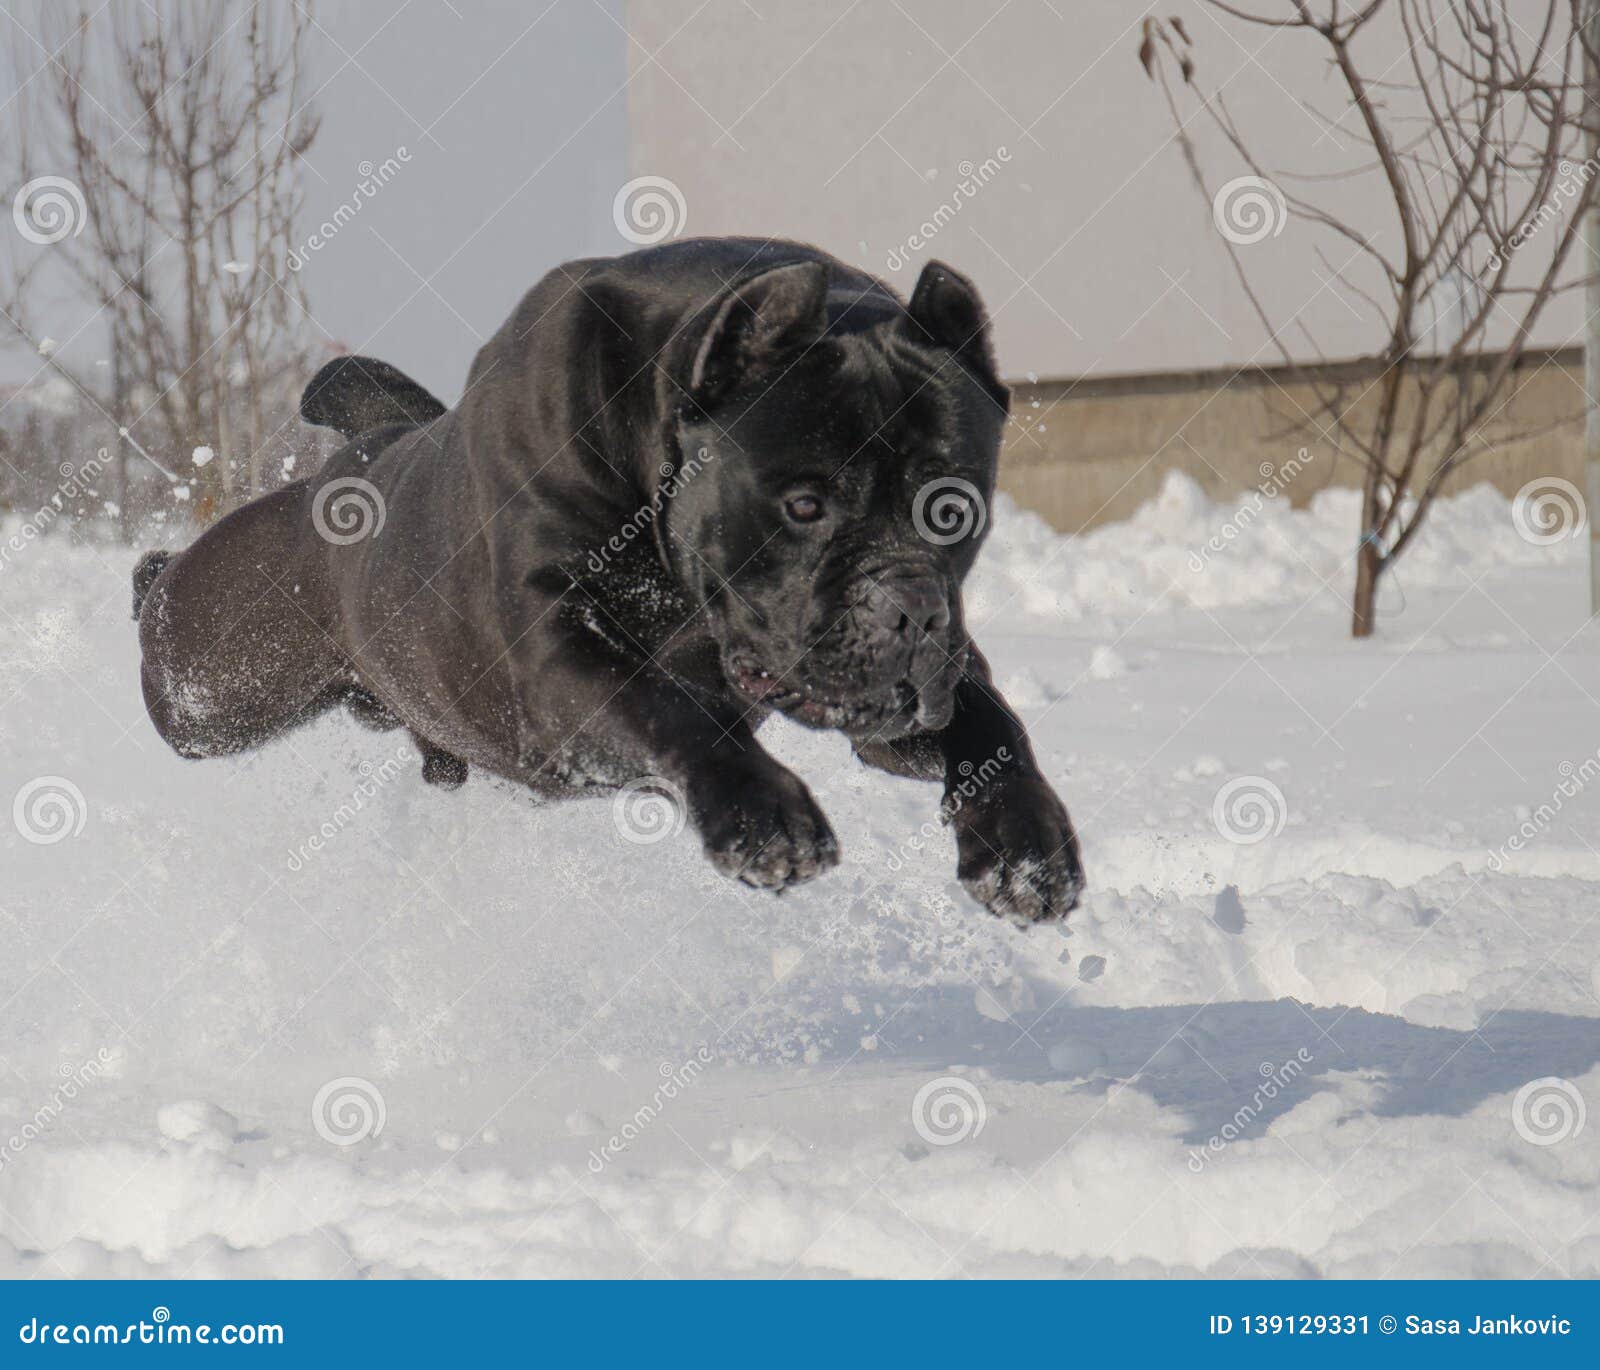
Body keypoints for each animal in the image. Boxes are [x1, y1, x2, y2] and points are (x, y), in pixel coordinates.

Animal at [134, 238, 1088, 921]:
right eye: (805, 504)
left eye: (952, 510)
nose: (910, 605)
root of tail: (369, 450)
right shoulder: (559, 656)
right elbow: (664, 706)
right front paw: (764, 820)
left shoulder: (912, 704)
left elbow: (990, 722)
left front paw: (1026, 848)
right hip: (215, 680)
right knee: (172, 655)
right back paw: (147, 575)